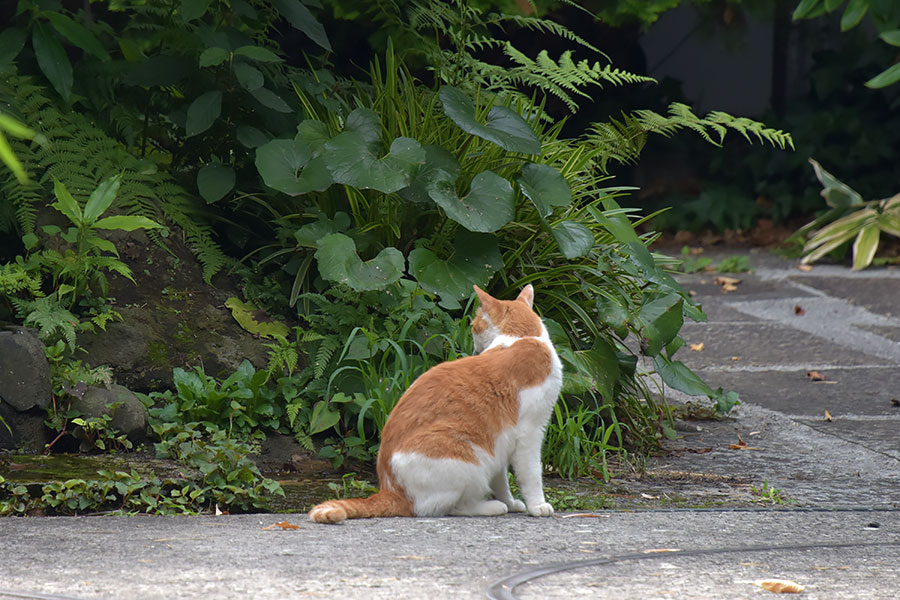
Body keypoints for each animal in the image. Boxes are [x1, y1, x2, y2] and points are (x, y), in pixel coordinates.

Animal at [310, 284, 564, 524]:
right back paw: (490, 507)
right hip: (467, 457)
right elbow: (531, 474)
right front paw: (537, 505)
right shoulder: (529, 433)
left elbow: (501, 479)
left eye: (474, 327)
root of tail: (391, 490)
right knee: (447, 507)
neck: (521, 338)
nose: (474, 348)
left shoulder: (500, 438)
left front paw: (511, 502)